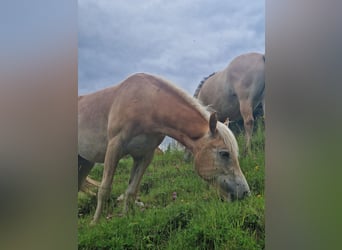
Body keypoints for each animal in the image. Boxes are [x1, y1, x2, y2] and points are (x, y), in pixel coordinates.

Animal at [78, 73, 251, 225]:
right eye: (224, 154)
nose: (245, 193)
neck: (145, 102)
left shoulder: (144, 155)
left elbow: (131, 191)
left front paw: (125, 218)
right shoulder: (114, 147)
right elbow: (104, 188)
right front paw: (95, 223)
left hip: (86, 161)